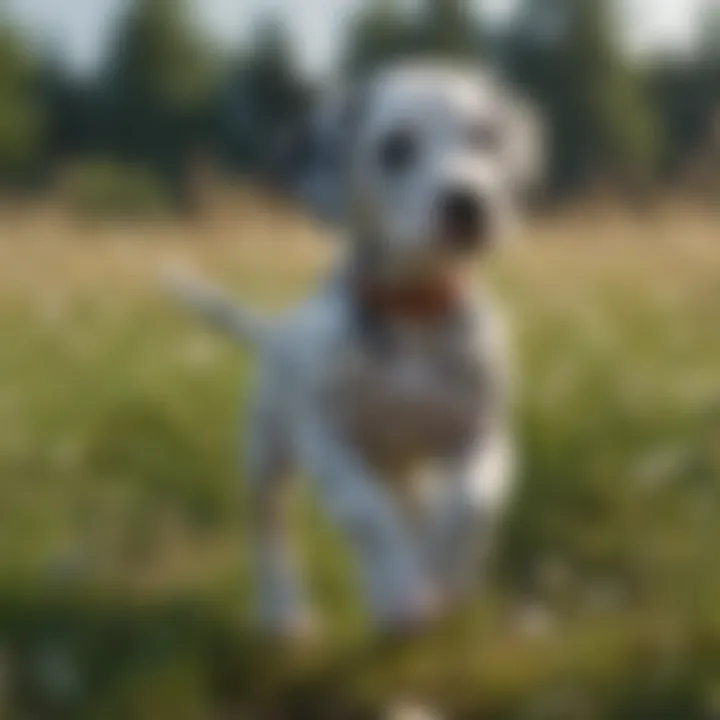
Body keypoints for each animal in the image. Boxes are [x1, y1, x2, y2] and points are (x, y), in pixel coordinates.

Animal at [166, 62, 544, 636]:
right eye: (395, 148)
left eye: (486, 137)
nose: (469, 204)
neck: (413, 310)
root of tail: (277, 331)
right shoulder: (327, 441)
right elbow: (367, 514)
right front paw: (397, 592)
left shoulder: (484, 433)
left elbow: (469, 502)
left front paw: (445, 571)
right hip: (265, 457)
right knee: (269, 530)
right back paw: (282, 609)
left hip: (402, 463)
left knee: (420, 503)